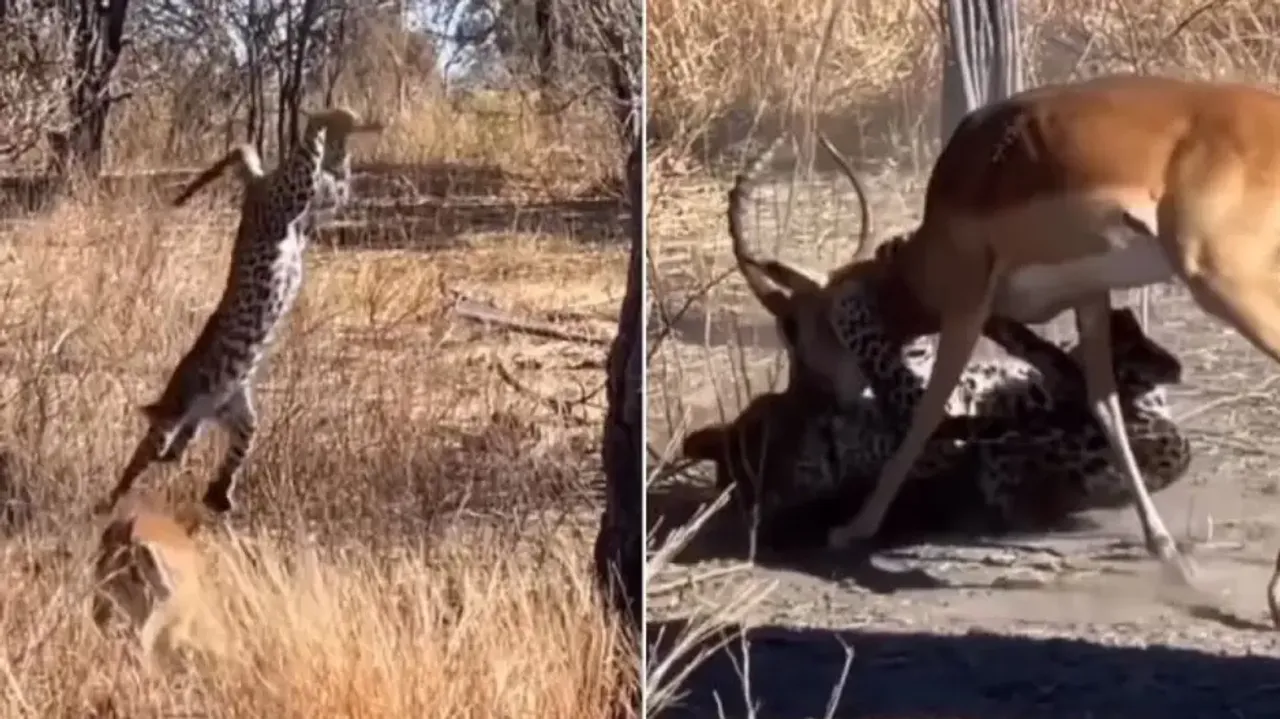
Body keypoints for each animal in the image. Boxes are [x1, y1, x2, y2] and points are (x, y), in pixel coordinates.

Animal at [730, 73, 1280, 620]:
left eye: (790, 326)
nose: (805, 398)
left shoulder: (966, 307)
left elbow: (928, 412)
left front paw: (851, 530)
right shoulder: (1089, 297)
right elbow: (1104, 407)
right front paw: (1171, 558)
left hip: (1226, 284)